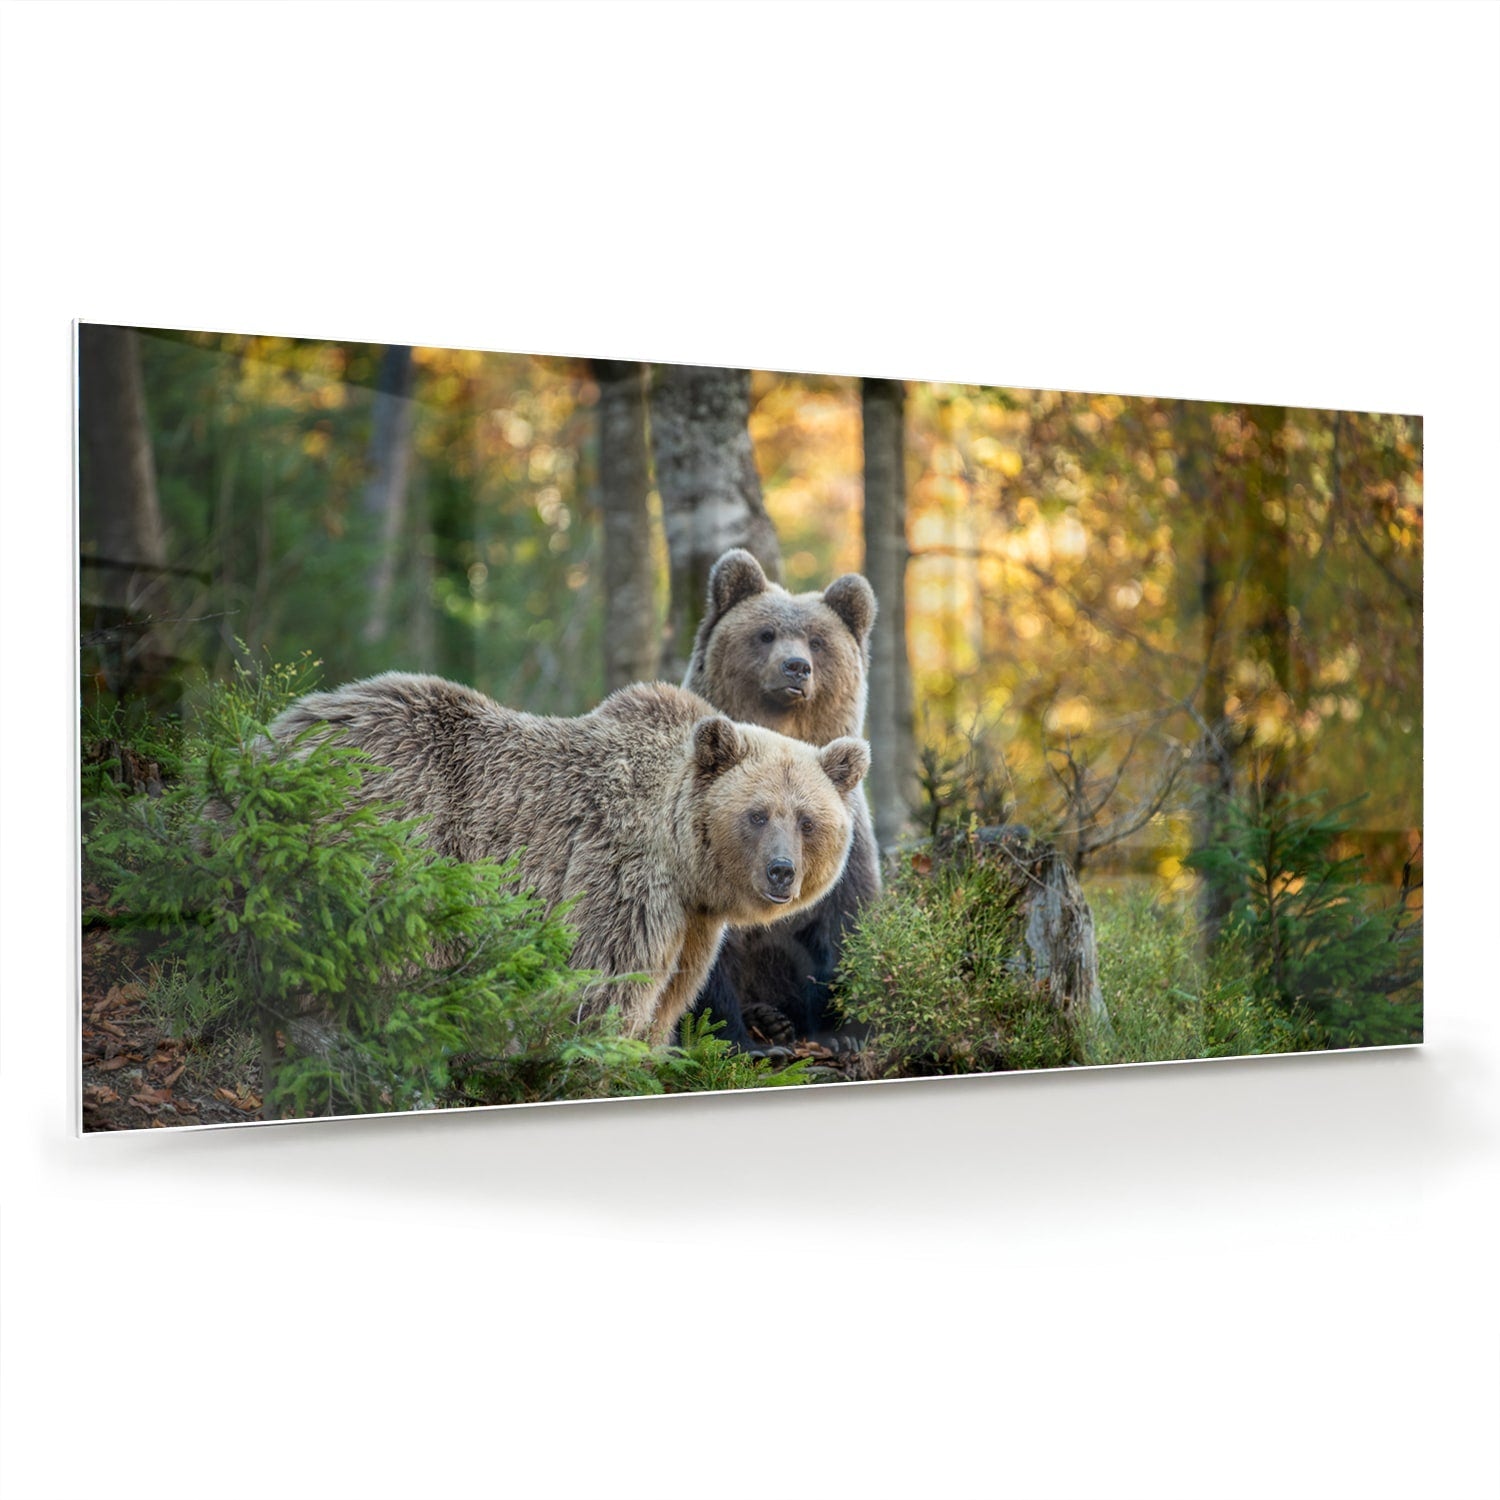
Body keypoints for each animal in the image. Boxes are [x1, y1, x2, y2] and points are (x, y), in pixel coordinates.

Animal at [267, 672, 870, 1046]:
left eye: (807, 820)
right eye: (758, 814)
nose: (781, 871)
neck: (683, 860)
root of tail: (279, 734)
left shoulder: (693, 920)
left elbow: (672, 994)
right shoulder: (620, 873)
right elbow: (605, 983)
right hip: (396, 831)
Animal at [681, 548, 882, 1049]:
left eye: (817, 641)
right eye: (766, 633)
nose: (795, 666)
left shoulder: (847, 837)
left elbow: (845, 922)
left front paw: (842, 1034)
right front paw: (736, 1040)